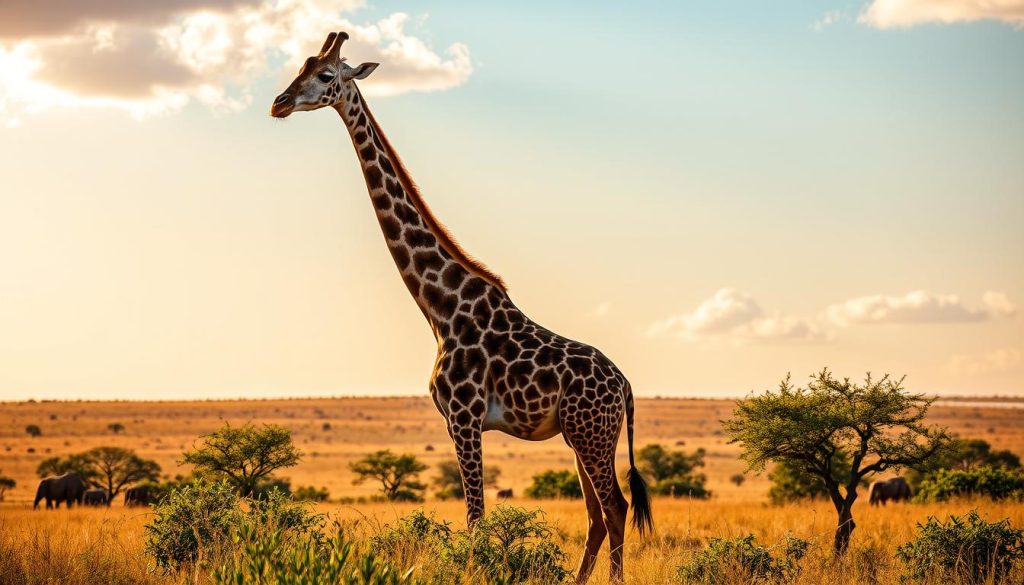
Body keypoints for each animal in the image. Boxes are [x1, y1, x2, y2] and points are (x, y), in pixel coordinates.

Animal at [271, 32, 653, 583]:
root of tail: (624, 385)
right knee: (599, 515)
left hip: (591, 435)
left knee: (616, 507)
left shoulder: (463, 416)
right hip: (581, 436)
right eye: (301, 66)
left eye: (325, 75)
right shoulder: (460, 419)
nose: (279, 103)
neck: (440, 310)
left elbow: (475, 516)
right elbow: (476, 516)